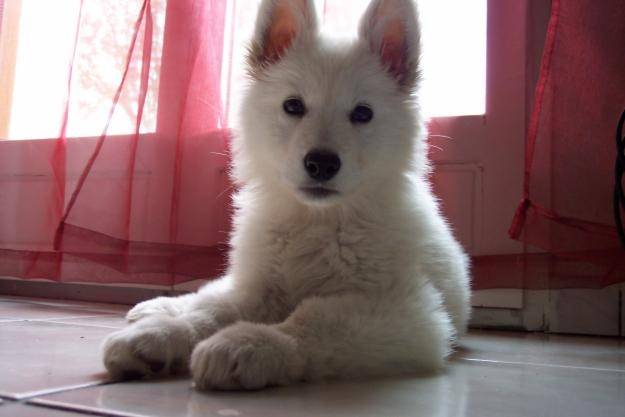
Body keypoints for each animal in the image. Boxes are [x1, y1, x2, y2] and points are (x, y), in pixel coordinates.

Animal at [102, 0, 468, 390]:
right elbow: (214, 310)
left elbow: (314, 321)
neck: (317, 220)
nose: (321, 163)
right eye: (293, 106)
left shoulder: (409, 311)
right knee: (210, 292)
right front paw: (162, 334)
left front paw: (248, 344)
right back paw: (155, 309)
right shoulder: (260, 287)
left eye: (362, 113)